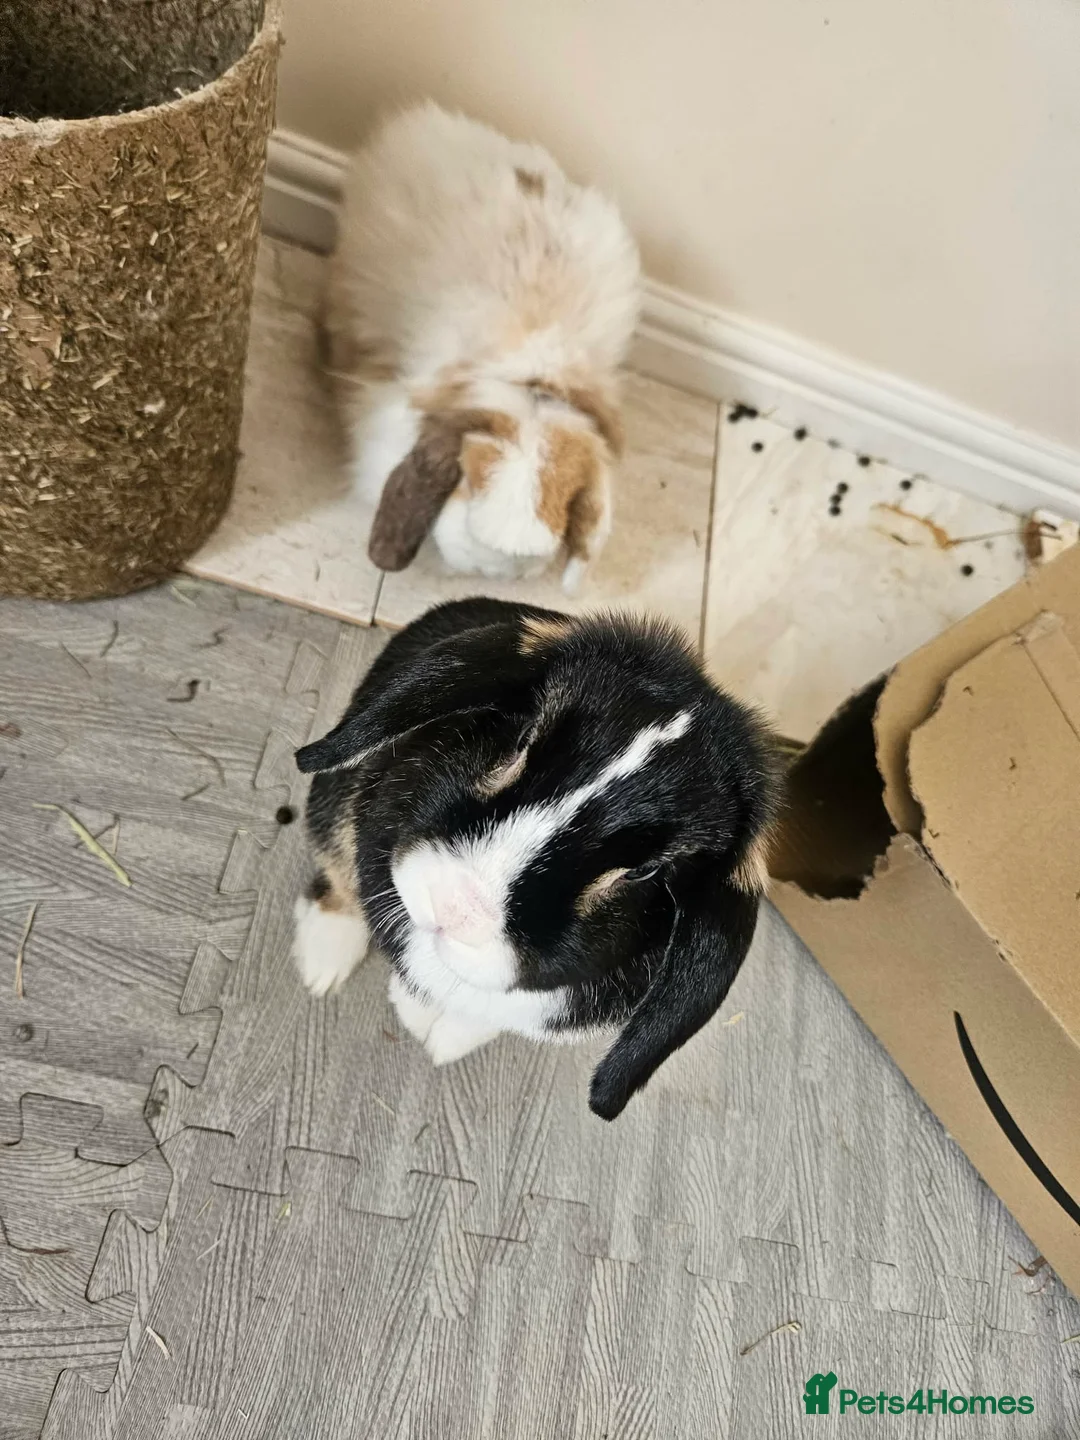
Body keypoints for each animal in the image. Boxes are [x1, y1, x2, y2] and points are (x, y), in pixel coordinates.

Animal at [292, 597, 779, 1121]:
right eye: (522, 738)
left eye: (645, 871)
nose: (455, 906)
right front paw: (414, 1015)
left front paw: (442, 1043)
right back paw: (322, 966)